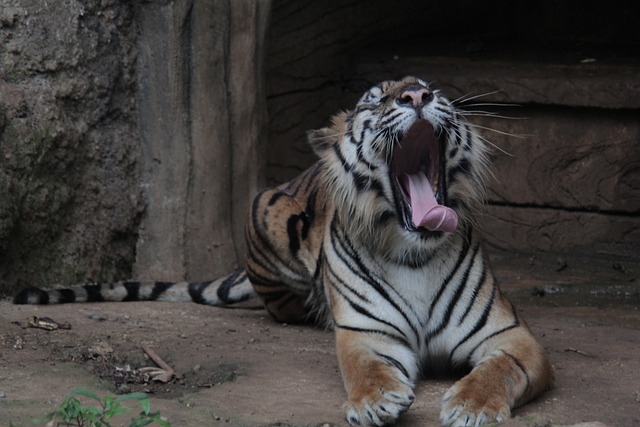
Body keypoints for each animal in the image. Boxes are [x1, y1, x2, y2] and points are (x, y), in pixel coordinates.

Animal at [15, 77, 556, 427]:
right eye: (376, 100)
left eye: (434, 90)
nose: (418, 96)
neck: (414, 251)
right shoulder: (366, 334)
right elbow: (367, 370)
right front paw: (376, 402)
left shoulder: (510, 336)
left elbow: (499, 369)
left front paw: (471, 405)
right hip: (263, 211)